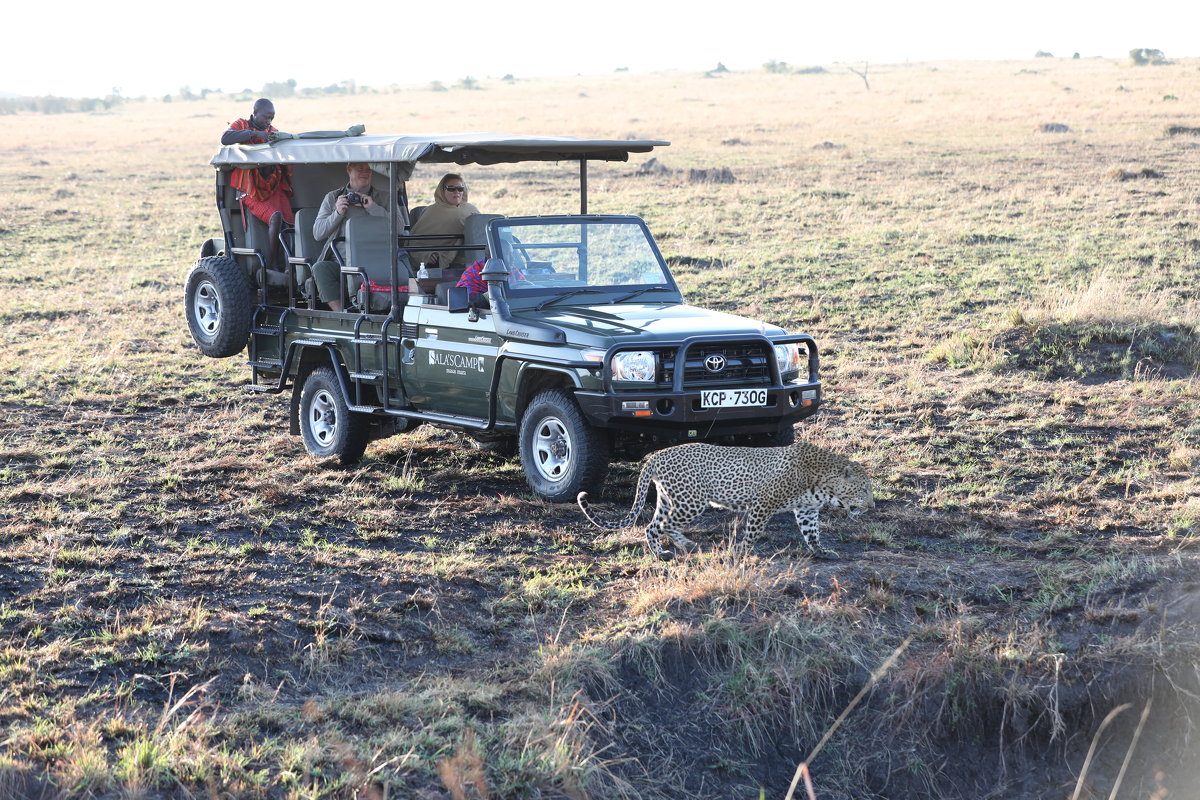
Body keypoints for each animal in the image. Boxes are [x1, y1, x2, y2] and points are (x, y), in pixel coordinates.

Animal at [578, 441, 873, 561]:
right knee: (657, 526)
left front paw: (822, 552)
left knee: (657, 524)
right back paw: (670, 551)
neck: (824, 482)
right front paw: (740, 551)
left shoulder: (807, 510)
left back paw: (675, 547)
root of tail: (657, 455)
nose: (872, 506)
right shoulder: (763, 503)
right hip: (691, 501)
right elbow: (753, 532)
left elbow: (812, 534)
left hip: (671, 499)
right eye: (865, 489)